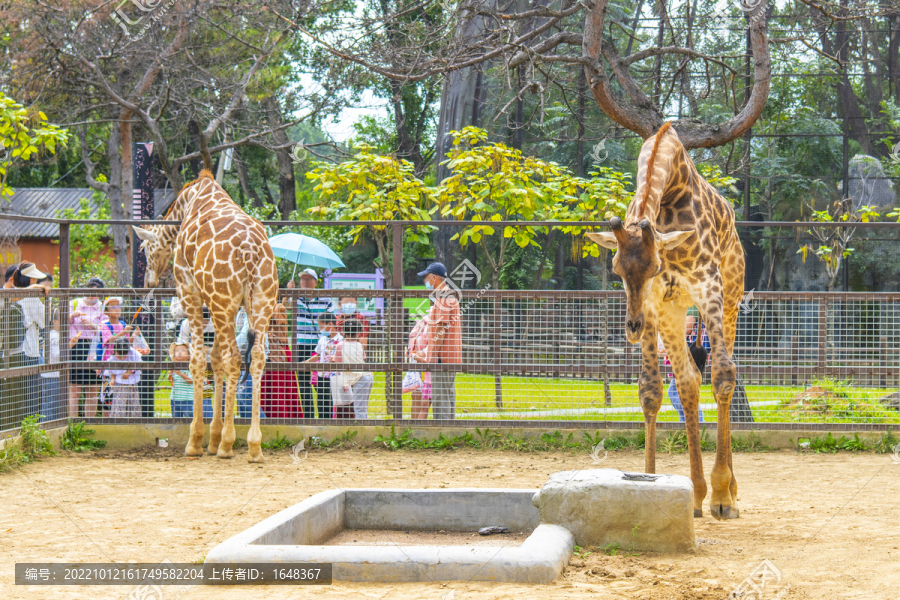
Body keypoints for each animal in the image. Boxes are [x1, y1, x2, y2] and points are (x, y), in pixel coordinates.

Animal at [134, 171, 278, 462]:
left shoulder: (190, 291)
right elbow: (215, 358)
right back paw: (254, 446)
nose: (147, 281)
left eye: (143, 248)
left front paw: (197, 441)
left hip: (224, 302)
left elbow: (198, 360)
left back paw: (227, 445)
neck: (189, 200)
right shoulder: (217, 304)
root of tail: (250, 251)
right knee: (256, 358)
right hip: (261, 302)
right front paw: (213, 437)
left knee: (234, 358)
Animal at [584, 123, 744, 520]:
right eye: (615, 268)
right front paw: (649, 481)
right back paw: (697, 495)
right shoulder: (656, 304)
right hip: (673, 313)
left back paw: (727, 493)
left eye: (655, 266)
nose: (631, 328)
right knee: (688, 380)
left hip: (731, 299)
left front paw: (722, 495)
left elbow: (723, 375)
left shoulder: (707, 285)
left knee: (724, 373)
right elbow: (651, 391)